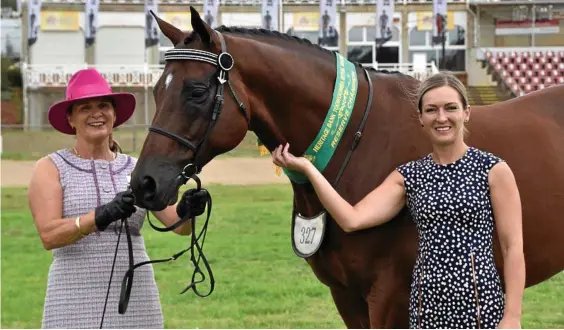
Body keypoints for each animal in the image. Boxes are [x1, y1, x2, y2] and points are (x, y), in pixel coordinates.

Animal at [130, 6, 564, 328]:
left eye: (196, 91)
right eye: (157, 91)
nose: (144, 183)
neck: (356, 144)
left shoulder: (389, 297)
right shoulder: (346, 296)